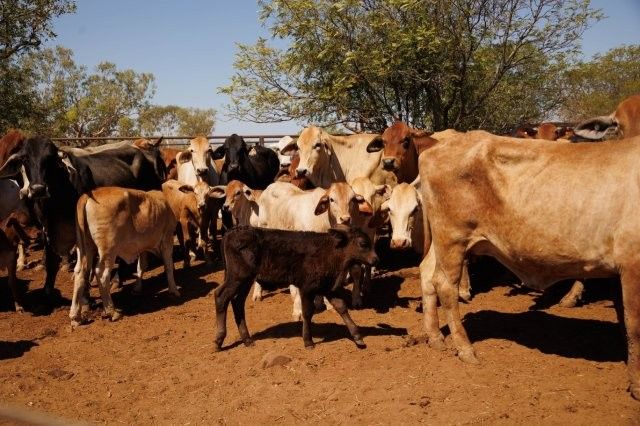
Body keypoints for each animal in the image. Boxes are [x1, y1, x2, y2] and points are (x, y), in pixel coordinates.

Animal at [0, 136, 167, 296]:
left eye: (50, 158)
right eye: (25, 158)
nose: (37, 189)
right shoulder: (46, 228)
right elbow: (51, 262)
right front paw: (48, 290)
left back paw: (118, 279)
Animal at [70, 187, 179, 325]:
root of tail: (88, 194)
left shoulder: (142, 247)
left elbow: (141, 267)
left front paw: (137, 288)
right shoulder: (167, 238)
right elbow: (168, 266)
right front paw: (174, 290)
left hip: (85, 247)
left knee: (79, 272)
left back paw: (75, 317)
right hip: (108, 250)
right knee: (102, 274)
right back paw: (112, 312)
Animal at [215, 226, 378, 350]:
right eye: (363, 243)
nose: (376, 259)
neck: (330, 251)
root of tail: (232, 232)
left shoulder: (328, 288)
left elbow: (341, 307)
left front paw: (357, 337)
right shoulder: (307, 287)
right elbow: (307, 312)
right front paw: (308, 341)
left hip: (245, 280)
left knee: (237, 302)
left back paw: (247, 339)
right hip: (237, 277)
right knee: (221, 297)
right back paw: (219, 340)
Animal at [416, 130, 640, 400]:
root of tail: (441, 142)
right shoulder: (632, 263)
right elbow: (635, 326)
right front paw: (637, 385)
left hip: (442, 242)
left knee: (427, 274)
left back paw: (435, 336)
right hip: (453, 237)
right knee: (445, 285)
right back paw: (465, 349)